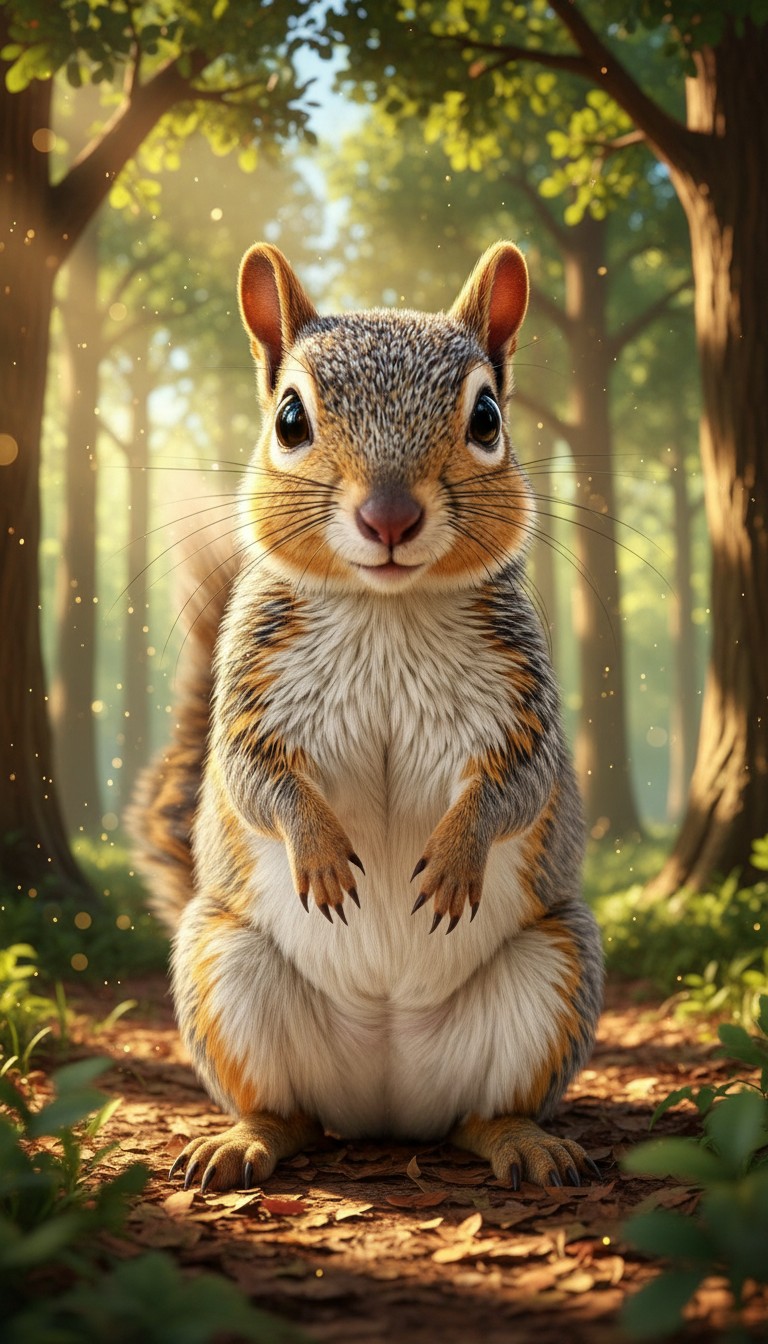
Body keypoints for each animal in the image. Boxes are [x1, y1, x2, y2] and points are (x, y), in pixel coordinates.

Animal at [128, 240, 604, 1194]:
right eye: (289, 420)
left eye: (487, 417)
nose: (390, 516)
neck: (387, 609)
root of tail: (388, 1107)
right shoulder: (255, 684)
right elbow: (253, 775)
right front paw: (316, 847)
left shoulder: (521, 691)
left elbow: (520, 782)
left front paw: (458, 854)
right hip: (221, 968)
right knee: (289, 1114)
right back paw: (246, 1139)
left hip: (558, 970)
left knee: (483, 1112)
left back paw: (524, 1141)